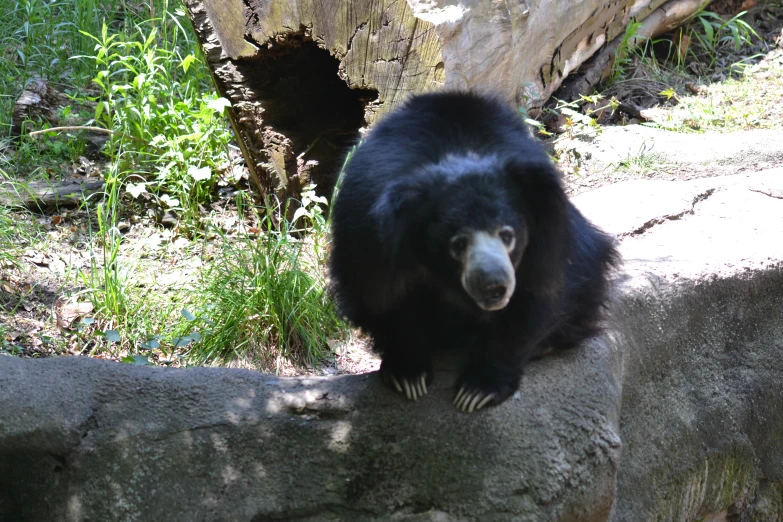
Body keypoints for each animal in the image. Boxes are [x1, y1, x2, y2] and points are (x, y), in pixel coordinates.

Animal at [326, 92, 620, 410]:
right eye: (457, 244)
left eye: (507, 235)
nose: (495, 286)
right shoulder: (368, 234)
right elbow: (381, 298)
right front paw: (409, 375)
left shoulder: (548, 234)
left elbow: (539, 293)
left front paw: (478, 389)